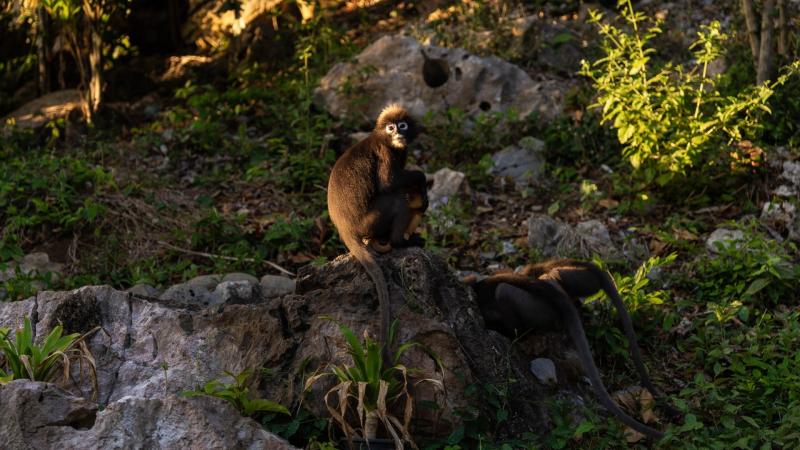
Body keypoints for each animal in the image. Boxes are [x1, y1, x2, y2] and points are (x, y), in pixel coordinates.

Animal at [327, 104, 428, 363]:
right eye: (391, 128)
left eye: (402, 126)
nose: (398, 133)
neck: (386, 140)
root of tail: (345, 229)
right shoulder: (385, 152)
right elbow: (388, 183)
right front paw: (421, 181)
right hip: (370, 221)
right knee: (398, 199)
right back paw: (399, 241)